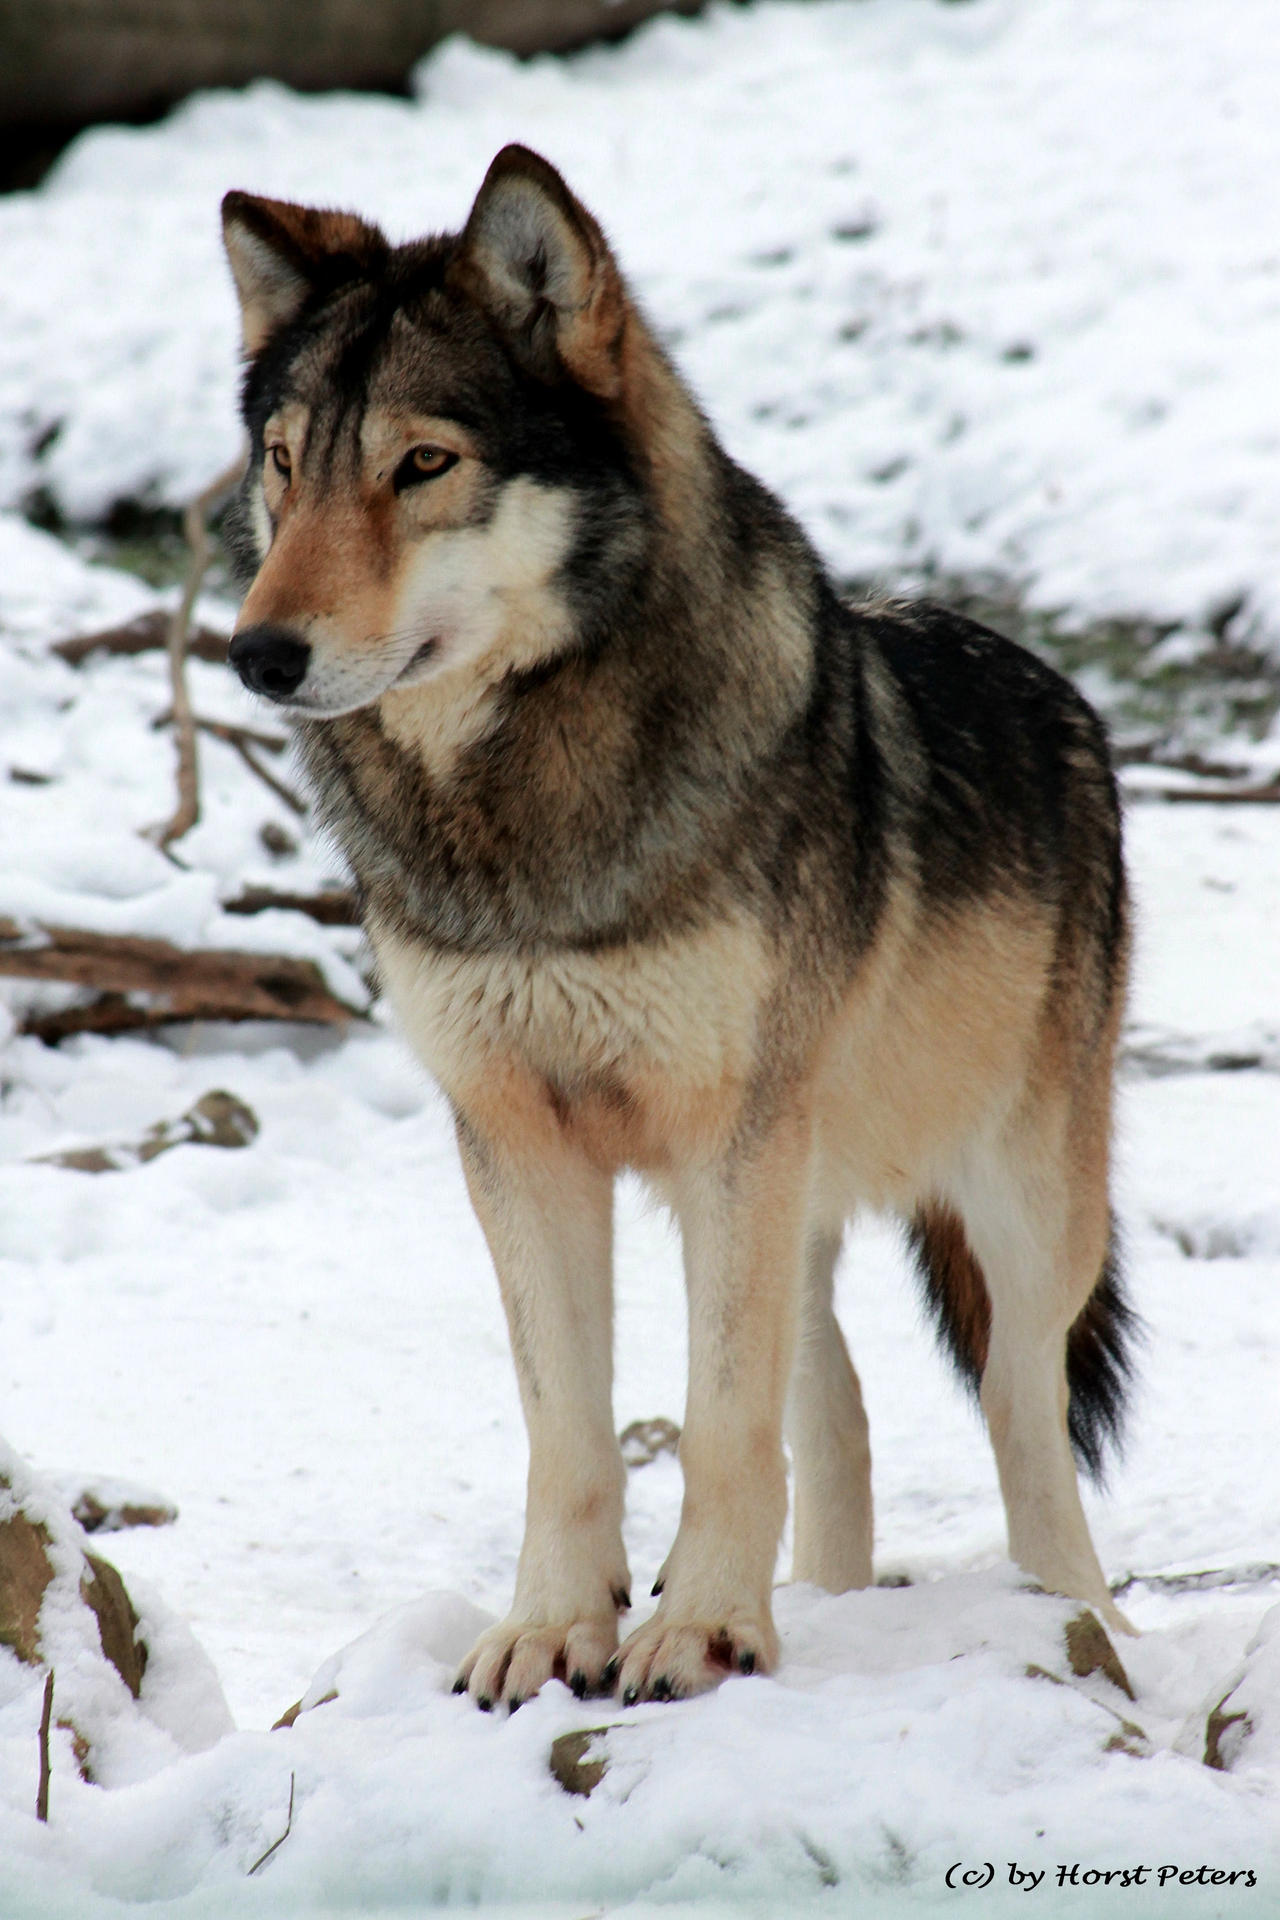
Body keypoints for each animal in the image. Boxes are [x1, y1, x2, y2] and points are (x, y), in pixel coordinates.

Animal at [221, 145, 1136, 1709]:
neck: (524, 826)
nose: (257, 654)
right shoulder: (513, 1139)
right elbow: (570, 1433)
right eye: (286, 464)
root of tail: (1062, 694)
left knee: (1020, 1418)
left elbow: (716, 1426)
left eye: (423, 465)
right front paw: (551, 1632)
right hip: (802, 1198)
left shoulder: (729, 1138)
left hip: (1006, 1209)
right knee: (835, 1410)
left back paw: (1076, 1629)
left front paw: (701, 1633)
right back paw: (825, 1601)